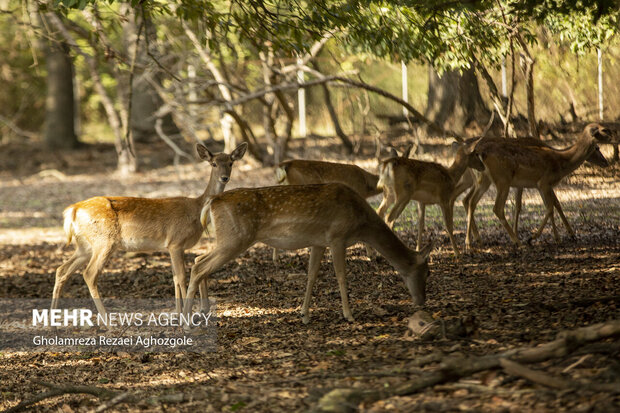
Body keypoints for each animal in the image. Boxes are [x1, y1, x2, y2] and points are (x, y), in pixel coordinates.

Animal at [50, 142, 248, 318]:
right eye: (213, 163)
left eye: (231, 163)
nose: (224, 178)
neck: (196, 209)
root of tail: (72, 210)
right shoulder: (176, 242)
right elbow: (181, 276)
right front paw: (186, 315)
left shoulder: (171, 246)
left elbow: (174, 277)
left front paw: (177, 314)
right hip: (104, 241)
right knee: (89, 274)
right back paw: (108, 323)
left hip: (84, 245)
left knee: (62, 270)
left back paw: (52, 323)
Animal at [184, 183, 432, 326]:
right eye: (427, 272)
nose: (422, 302)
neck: (362, 224)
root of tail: (212, 202)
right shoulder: (337, 237)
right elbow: (341, 276)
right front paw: (349, 315)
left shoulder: (318, 242)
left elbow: (311, 275)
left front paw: (304, 315)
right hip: (235, 239)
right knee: (198, 266)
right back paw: (186, 321)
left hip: (228, 239)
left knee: (198, 260)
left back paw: (202, 312)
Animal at [464, 120, 612, 246]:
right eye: (597, 148)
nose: (606, 162)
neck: (561, 162)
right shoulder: (544, 182)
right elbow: (551, 207)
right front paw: (534, 238)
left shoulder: (540, 185)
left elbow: (551, 206)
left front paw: (558, 237)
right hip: (502, 180)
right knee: (497, 208)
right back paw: (516, 241)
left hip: (485, 179)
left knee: (470, 201)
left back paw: (474, 240)